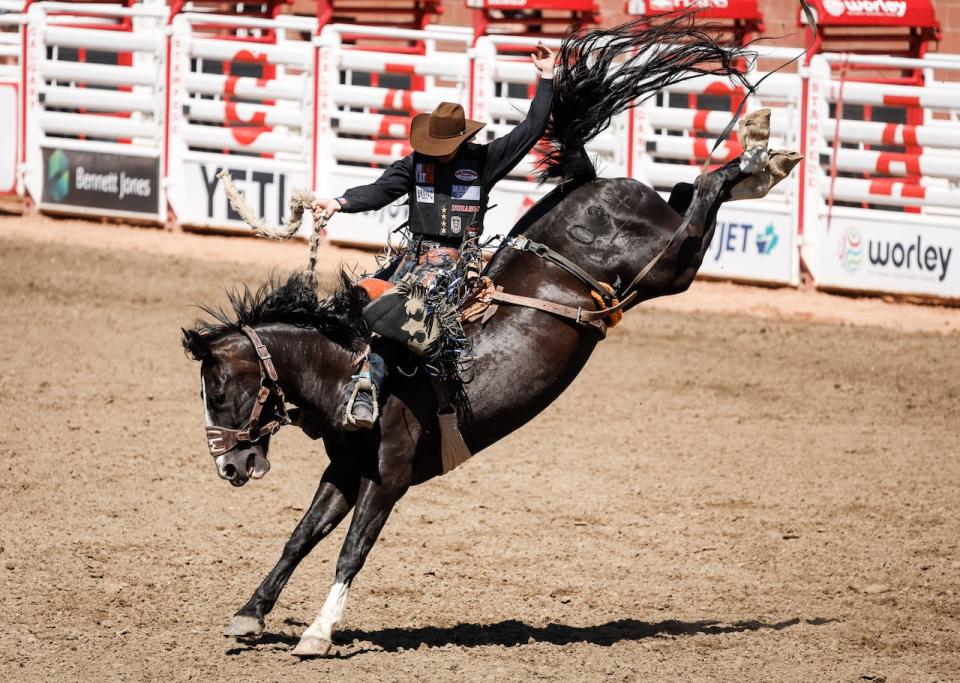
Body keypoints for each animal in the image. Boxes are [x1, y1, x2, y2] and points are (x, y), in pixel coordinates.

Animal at [180, 16, 804, 656]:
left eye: (220, 392)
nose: (228, 467)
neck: (346, 370)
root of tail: (590, 181)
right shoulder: (345, 472)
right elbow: (300, 537)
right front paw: (250, 613)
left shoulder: (387, 478)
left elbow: (351, 553)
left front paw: (318, 632)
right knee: (685, 190)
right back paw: (762, 159)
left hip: (668, 266)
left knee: (704, 195)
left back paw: (760, 151)